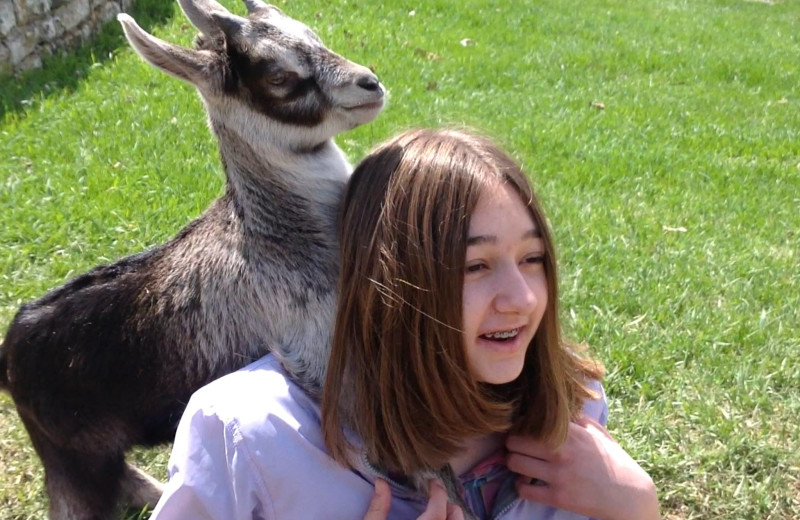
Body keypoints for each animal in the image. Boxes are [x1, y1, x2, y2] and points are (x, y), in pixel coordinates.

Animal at [0, 2, 384, 516]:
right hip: (73, 460)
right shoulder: (319, 358)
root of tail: (10, 347)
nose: (370, 83)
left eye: (312, 34)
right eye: (278, 75)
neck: (278, 238)